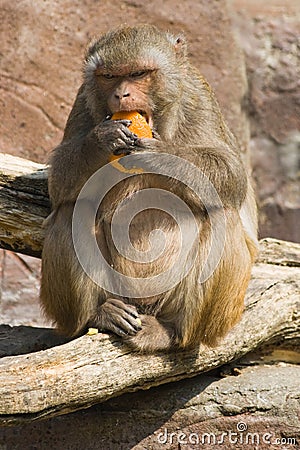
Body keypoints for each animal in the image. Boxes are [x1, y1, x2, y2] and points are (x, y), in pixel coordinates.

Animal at [39, 24, 258, 354]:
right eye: (109, 77)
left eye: (139, 73)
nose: (121, 94)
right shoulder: (83, 100)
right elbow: (60, 181)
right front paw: (102, 139)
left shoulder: (198, 97)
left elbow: (232, 174)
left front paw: (158, 156)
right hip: (118, 291)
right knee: (73, 209)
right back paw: (99, 314)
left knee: (223, 214)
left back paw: (173, 331)